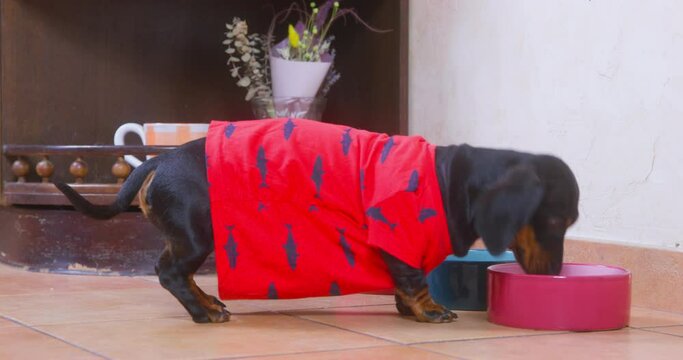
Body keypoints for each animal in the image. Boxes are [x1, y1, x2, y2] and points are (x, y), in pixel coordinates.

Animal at [56, 120, 580, 324]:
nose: (557, 275)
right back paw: (204, 312)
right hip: (196, 234)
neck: (451, 179)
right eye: (557, 218)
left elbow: (404, 283)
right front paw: (429, 311)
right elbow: (413, 280)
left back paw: (209, 303)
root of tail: (156, 161)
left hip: (187, 237)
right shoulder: (397, 239)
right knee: (169, 274)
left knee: (176, 273)